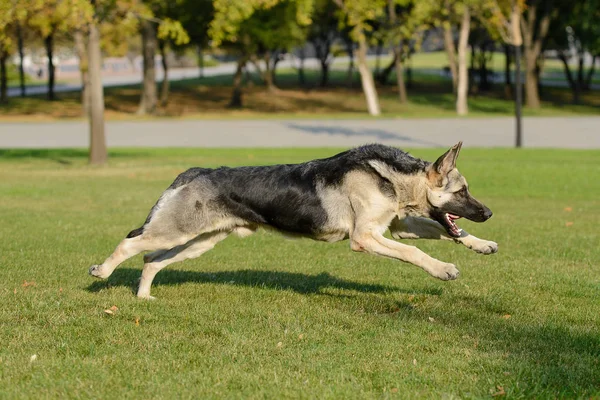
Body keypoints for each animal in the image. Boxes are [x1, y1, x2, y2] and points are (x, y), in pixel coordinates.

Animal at [88, 142, 496, 298]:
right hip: (175, 232)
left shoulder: (399, 228)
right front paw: (443, 270)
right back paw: (102, 272)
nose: (489, 214)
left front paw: (481, 244)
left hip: (195, 242)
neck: (394, 176)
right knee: (130, 243)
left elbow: (449, 233)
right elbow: (417, 254)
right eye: (463, 191)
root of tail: (193, 172)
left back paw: (143, 296)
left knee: (150, 260)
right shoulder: (367, 237)